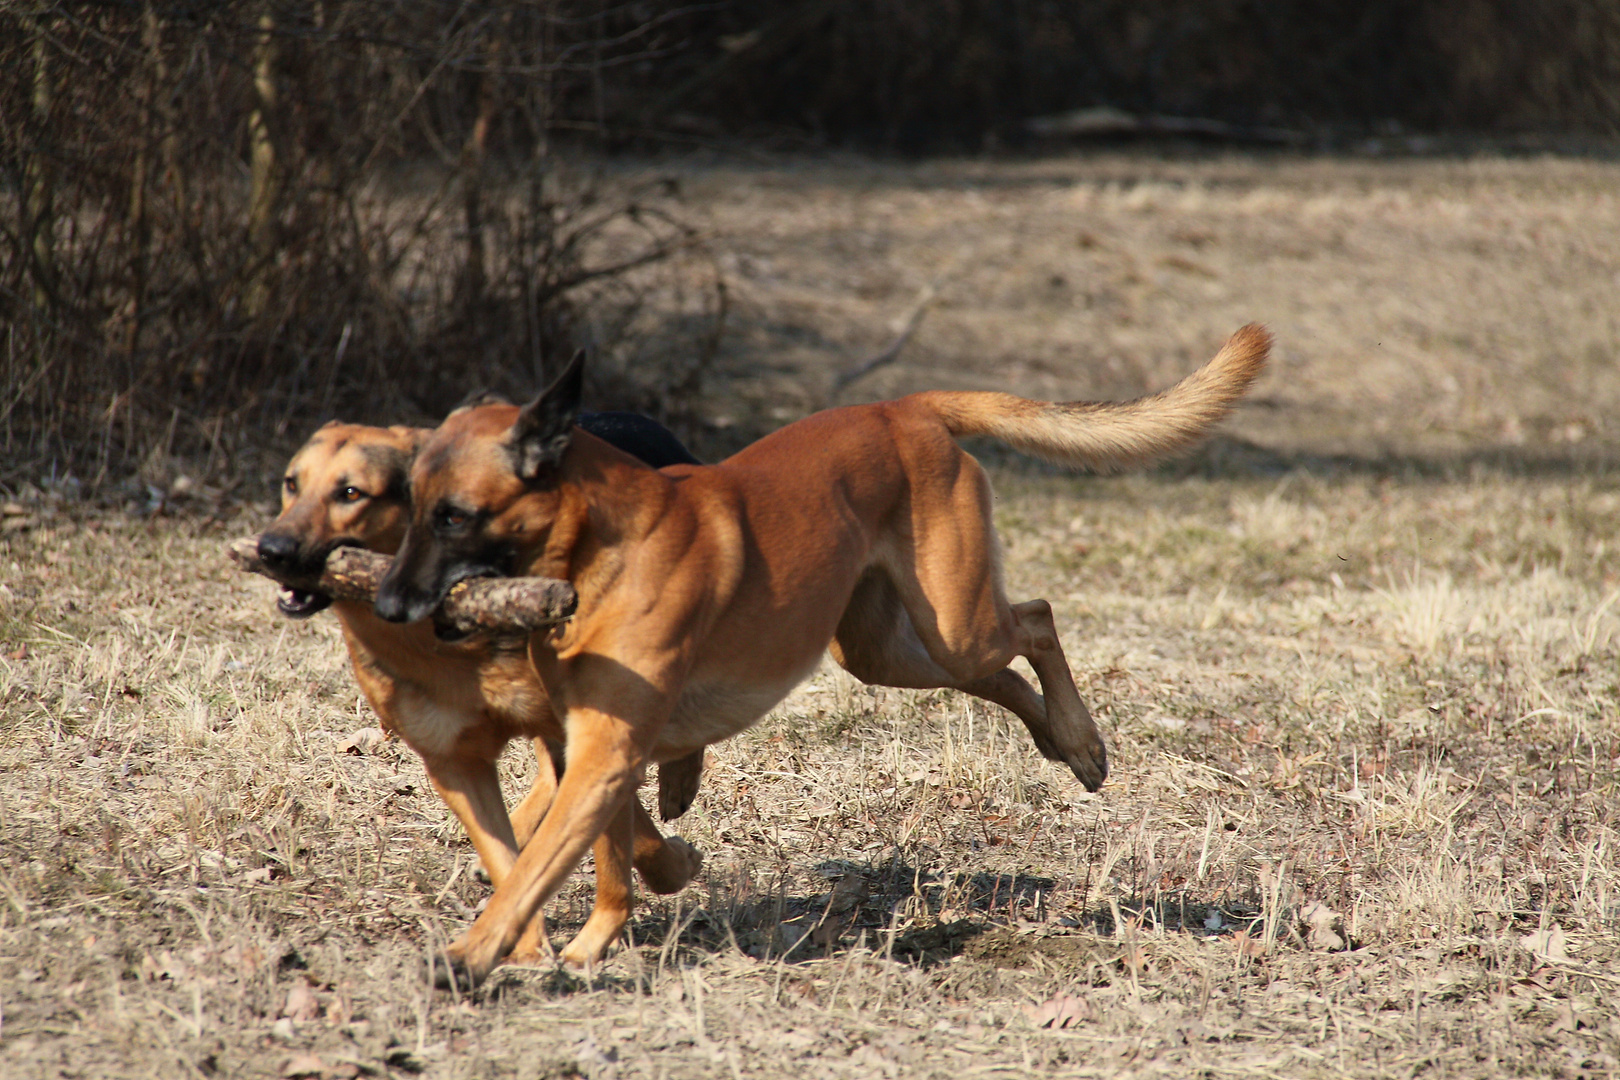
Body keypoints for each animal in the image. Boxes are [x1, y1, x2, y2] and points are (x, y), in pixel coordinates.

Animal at [257, 411, 703, 965]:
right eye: (291, 483)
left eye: (352, 493)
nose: (271, 550)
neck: (439, 638)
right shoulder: (452, 760)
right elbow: (508, 859)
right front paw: (524, 943)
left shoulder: (597, 727)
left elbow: (624, 837)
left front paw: (671, 869)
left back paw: (679, 781)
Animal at [372, 323, 1270, 990]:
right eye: (407, 506)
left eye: (453, 516)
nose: (385, 606)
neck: (599, 547)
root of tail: (904, 409)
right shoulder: (588, 747)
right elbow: (597, 861)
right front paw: (586, 944)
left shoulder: (603, 752)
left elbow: (540, 865)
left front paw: (471, 956)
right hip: (885, 649)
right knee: (1005, 666)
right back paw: (1060, 741)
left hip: (954, 622)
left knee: (1036, 620)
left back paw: (1080, 739)